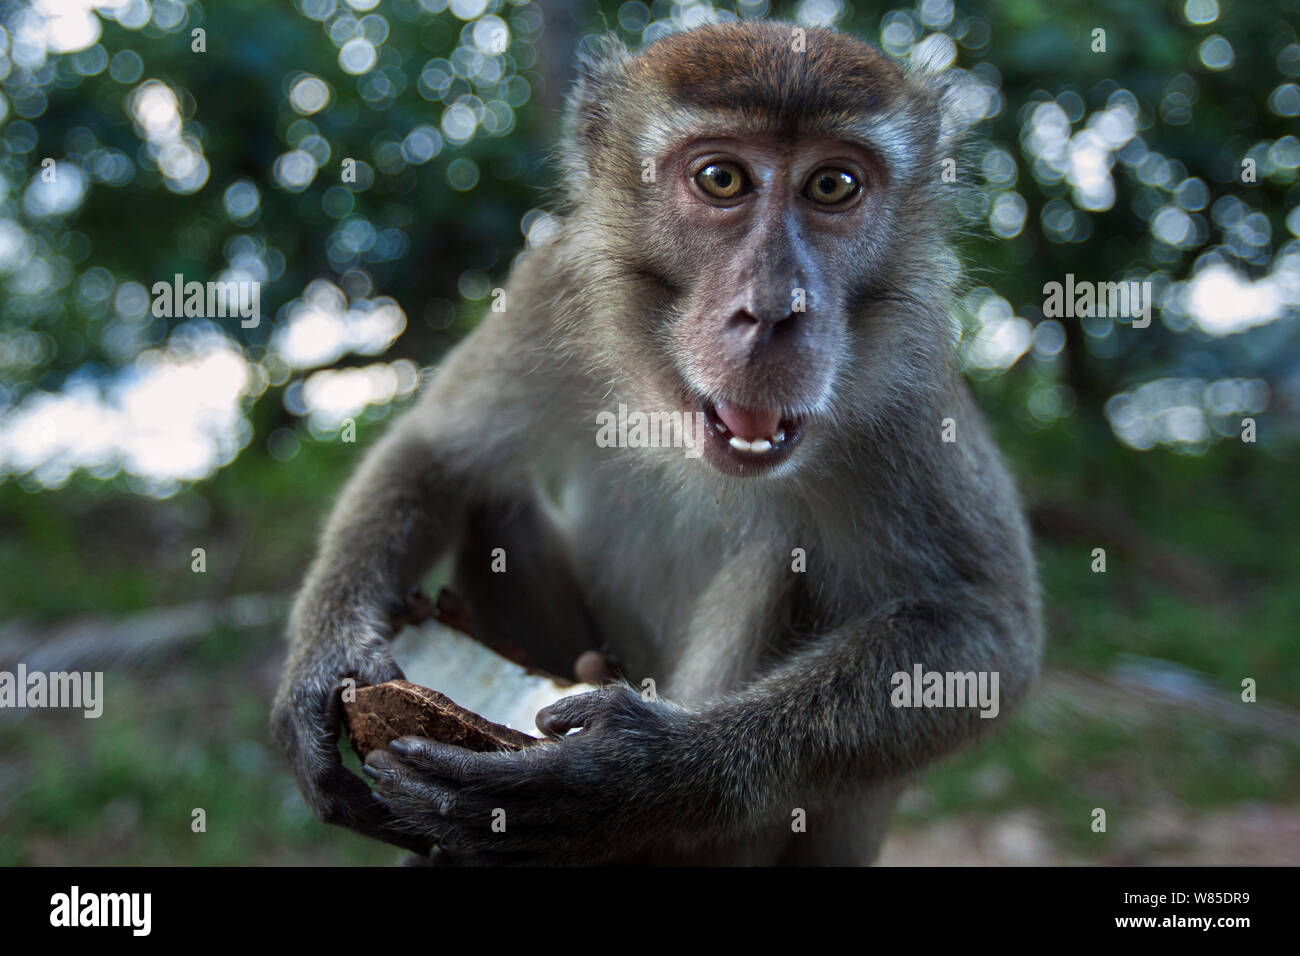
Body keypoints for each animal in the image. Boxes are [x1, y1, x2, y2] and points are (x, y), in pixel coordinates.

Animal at [269, 20, 1040, 868]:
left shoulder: (911, 373)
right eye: (721, 179)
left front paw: (634, 776)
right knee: (491, 499)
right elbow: (437, 455)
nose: (774, 309)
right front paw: (322, 665)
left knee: (784, 565)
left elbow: (982, 632)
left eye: (834, 186)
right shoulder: (556, 283)